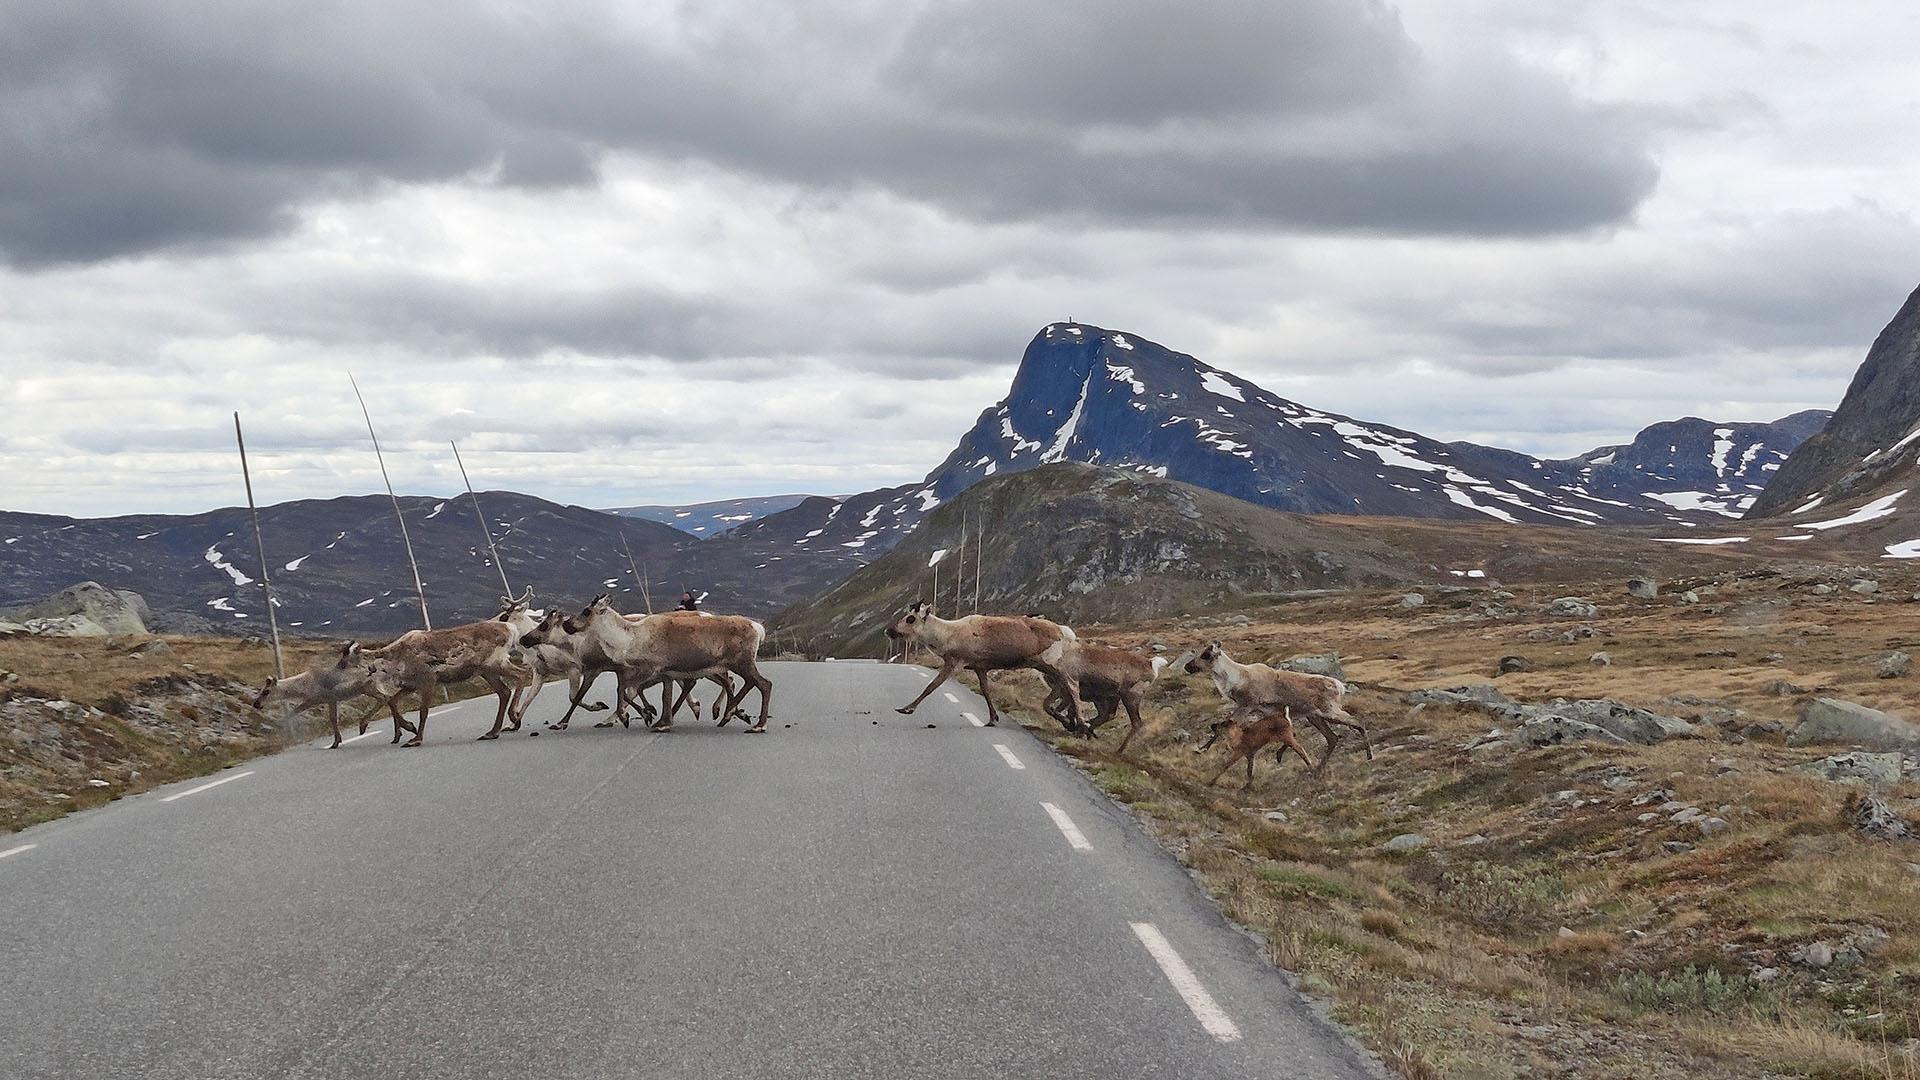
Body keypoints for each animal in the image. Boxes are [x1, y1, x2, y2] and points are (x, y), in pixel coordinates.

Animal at [251, 642, 417, 748]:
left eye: (266, 691)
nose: (256, 704)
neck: (302, 686)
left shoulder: (316, 699)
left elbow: (294, 712)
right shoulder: (332, 700)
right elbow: (333, 718)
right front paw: (336, 741)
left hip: (367, 687)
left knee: (385, 699)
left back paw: (369, 724)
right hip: (375, 687)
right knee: (390, 699)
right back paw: (397, 734)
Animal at [883, 601, 1083, 730]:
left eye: (910, 618)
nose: (889, 630)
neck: (945, 636)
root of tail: (1066, 632)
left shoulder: (954, 661)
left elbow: (931, 686)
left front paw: (907, 708)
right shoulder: (980, 667)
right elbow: (985, 690)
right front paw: (993, 718)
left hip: (1053, 663)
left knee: (1072, 687)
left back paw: (1079, 722)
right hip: (1046, 668)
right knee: (1063, 688)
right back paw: (1068, 720)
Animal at [1036, 639, 1171, 750]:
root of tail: (1151, 665)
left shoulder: (1064, 690)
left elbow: (1052, 707)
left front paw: (1070, 725)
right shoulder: (1068, 694)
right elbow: (1061, 709)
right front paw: (1071, 725)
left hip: (1129, 697)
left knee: (1135, 722)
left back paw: (1117, 750)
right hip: (1112, 697)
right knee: (1108, 715)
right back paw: (1087, 731)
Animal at [1183, 641, 1371, 781]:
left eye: (1206, 655)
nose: (1187, 666)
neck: (1236, 677)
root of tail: (1339, 686)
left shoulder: (1247, 705)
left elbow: (1223, 726)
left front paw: (1201, 749)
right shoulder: (1266, 711)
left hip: (1329, 711)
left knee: (1357, 723)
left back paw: (1369, 755)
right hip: (1314, 716)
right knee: (1332, 738)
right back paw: (1317, 770)